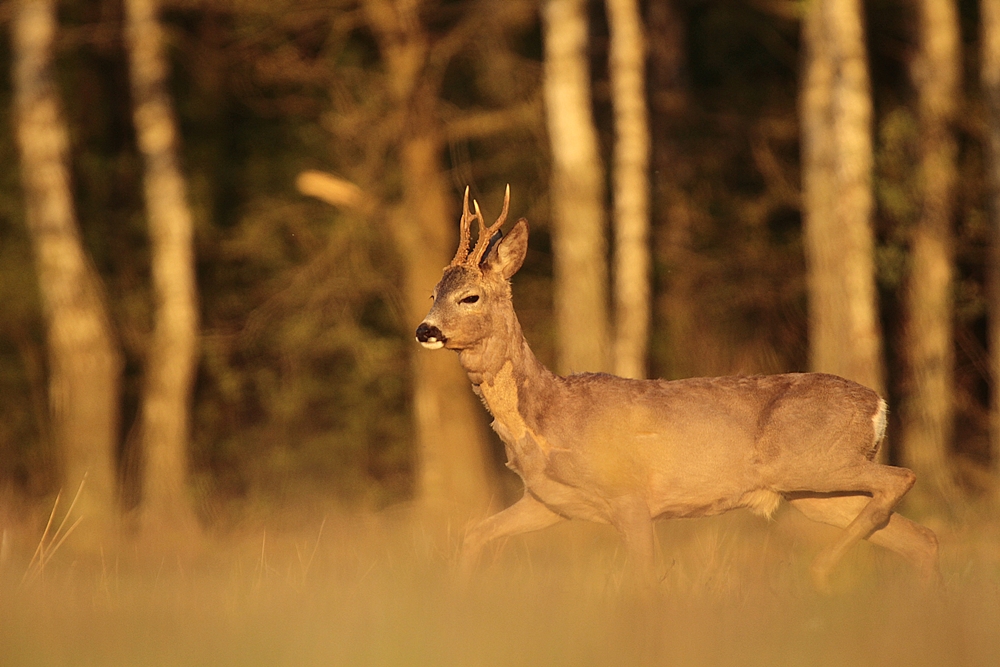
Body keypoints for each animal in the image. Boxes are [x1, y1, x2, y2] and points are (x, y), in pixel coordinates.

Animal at [412, 188, 936, 588]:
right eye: (433, 293)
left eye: (470, 296)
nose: (424, 330)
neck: (544, 417)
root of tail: (878, 404)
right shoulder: (548, 501)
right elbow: (474, 533)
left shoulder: (629, 494)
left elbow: (646, 578)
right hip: (815, 492)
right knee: (920, 536)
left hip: (814, 462)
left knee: (903, 478)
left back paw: (822, 570)